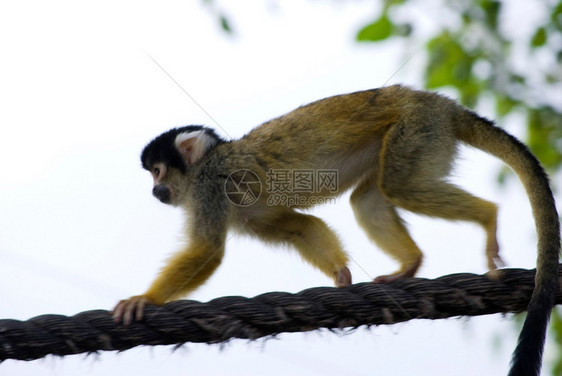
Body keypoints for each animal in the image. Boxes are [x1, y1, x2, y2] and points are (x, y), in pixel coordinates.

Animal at [112, 85, 556, 376]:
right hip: (422, 134)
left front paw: (144, 299)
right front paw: (341, 277)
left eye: (157, 171)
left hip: (417, 126)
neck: (208, 162)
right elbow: (299, 226)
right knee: (370, 198)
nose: (155, 191)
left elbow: (207, 251)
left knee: (401, 187)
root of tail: (440, 102)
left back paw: (488, 217)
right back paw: (410, 264)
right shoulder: (242, 210)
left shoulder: (210, 187)